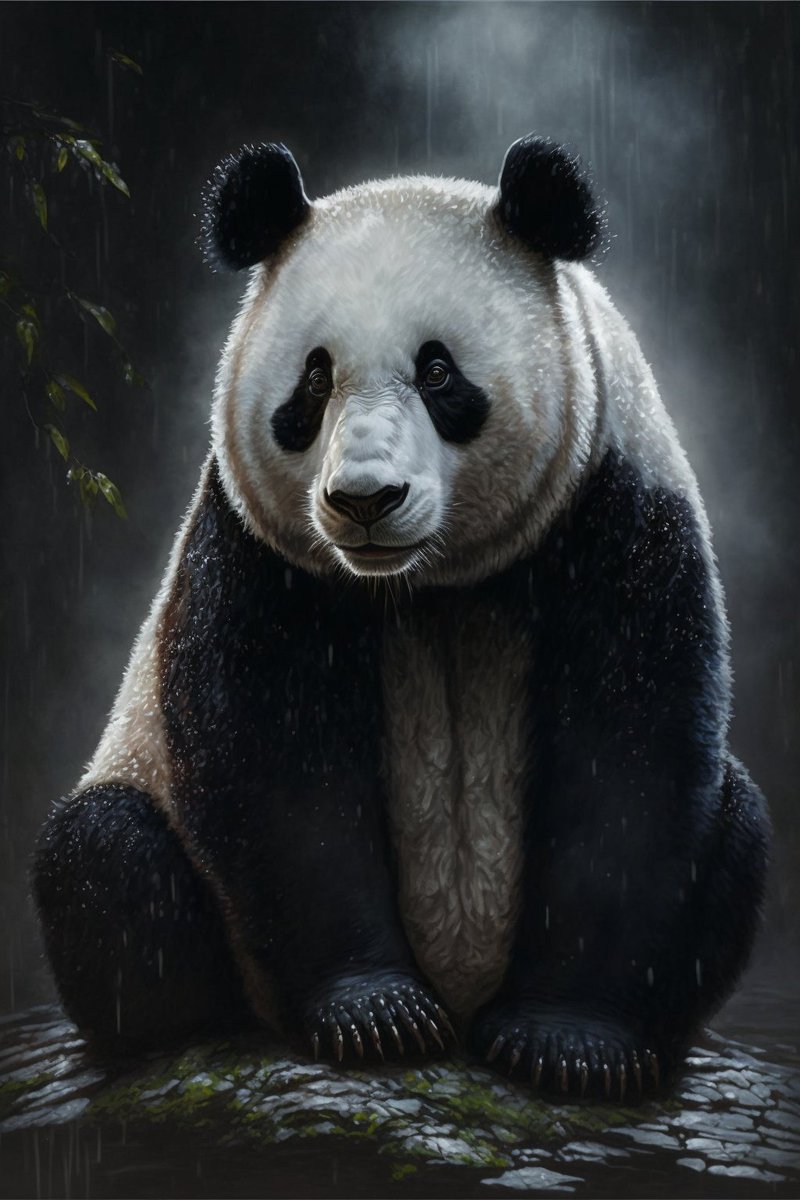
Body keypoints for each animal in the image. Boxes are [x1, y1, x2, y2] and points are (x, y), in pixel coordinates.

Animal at [33, 135, 770, 1101]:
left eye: (438, 371)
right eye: (314, 378)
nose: (364, 500)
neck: (431, 581)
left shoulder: (618, 503)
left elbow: (630, 754)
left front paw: (569, 1043)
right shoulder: (262, 547)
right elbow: (280, 766)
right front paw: (376, 1014)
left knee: (742, 823)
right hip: (144, 792)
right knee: (103, 856)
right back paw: (196, 1024)